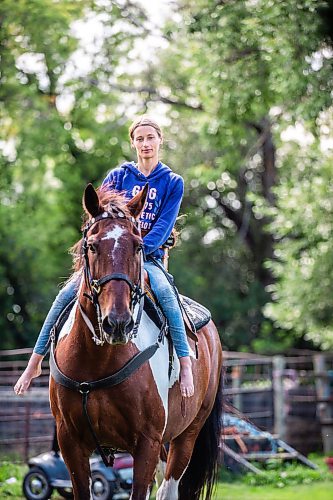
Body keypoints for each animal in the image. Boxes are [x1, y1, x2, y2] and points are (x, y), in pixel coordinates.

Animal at [49, 185, 223, 500]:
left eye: (138, 247)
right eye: (92, 246)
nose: (117, 322)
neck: (97, 363)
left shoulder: (147, 444)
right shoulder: (70, 443)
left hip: (186, 435)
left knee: (169, 488)